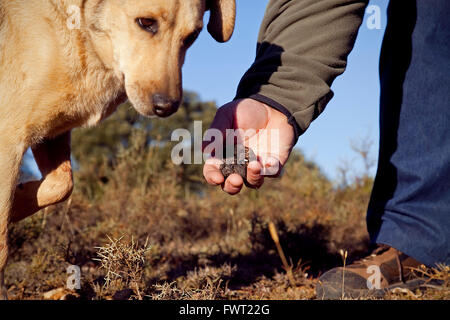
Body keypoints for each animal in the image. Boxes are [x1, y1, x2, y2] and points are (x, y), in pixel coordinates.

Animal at [0, 0, 237, 298]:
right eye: (146, 23)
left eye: (192, 36)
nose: (167, 107)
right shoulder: (9, 139)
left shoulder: (51, 134)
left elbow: (61, 185)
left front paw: (17, 206)